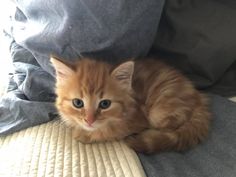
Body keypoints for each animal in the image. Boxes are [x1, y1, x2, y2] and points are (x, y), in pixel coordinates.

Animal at [51, 57, 210, 153]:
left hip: (159, 111)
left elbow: (110, 132)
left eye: (105, 104)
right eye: (78, 103)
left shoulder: (137, 120)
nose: (89, 120)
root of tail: (198, 96)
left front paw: (85, 135)